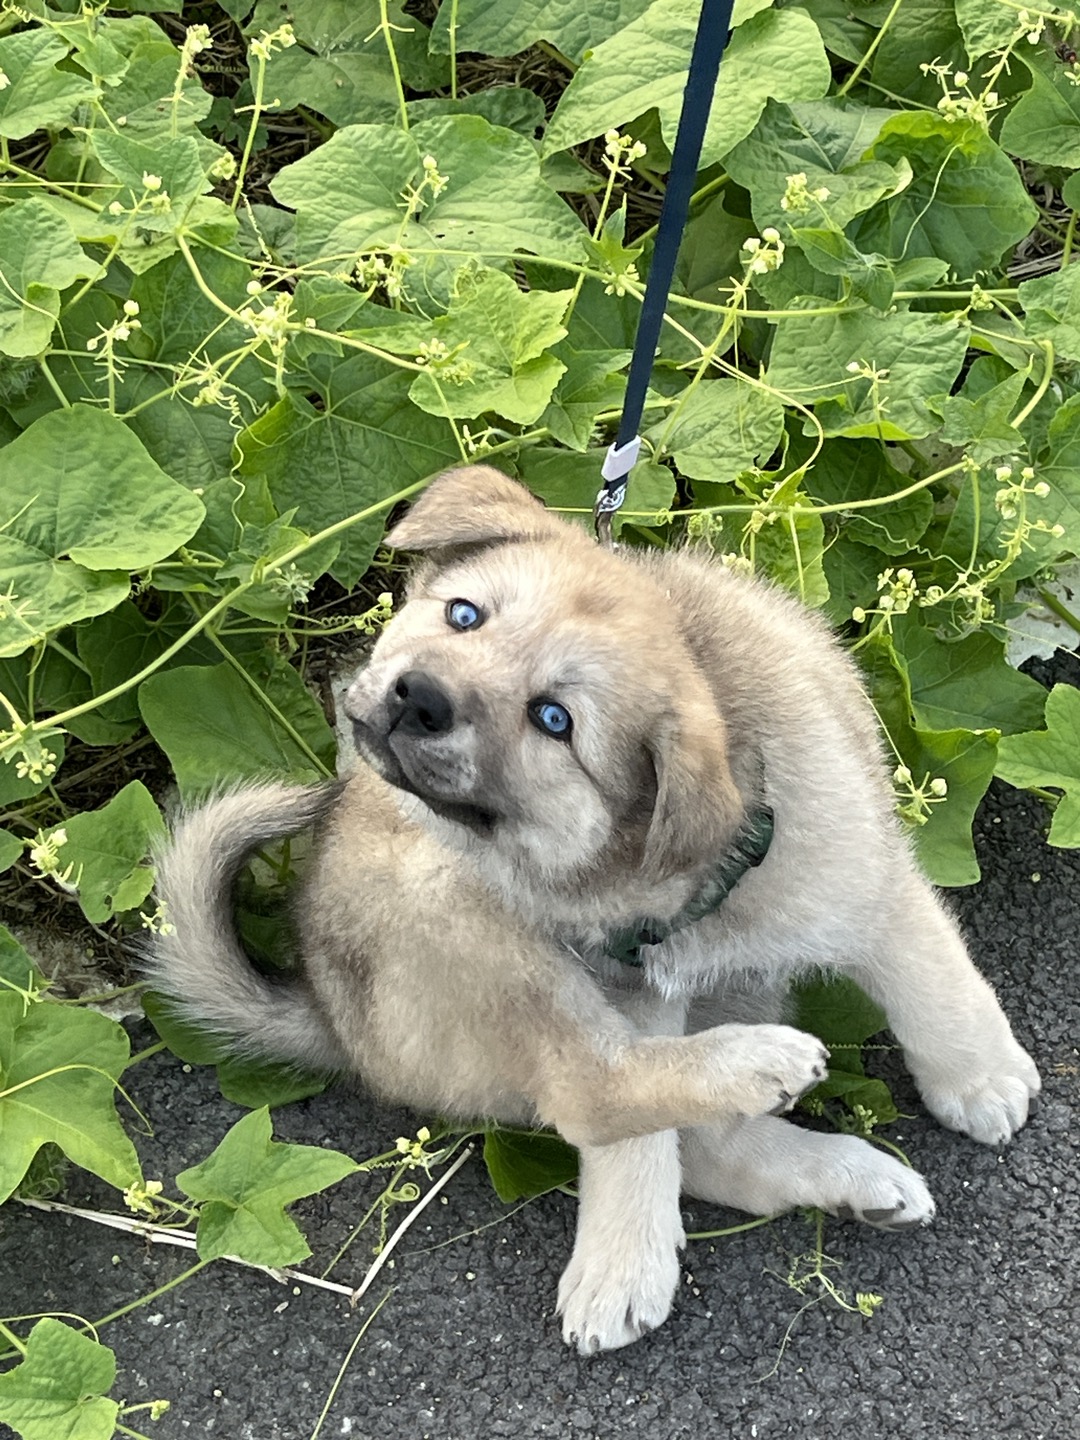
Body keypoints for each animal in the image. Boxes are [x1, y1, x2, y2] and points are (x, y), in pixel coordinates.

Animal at [147, 464, 1041, 1353]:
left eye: (554, 720)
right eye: (464, 614)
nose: (418, 696)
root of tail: (328, 1016)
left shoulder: (868, 883)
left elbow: (933, 984)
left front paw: (979, 1080)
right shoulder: (624, 984)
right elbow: (625, 1130)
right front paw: (622, 1260)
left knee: (692, 1138)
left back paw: (851, 1179)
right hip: (471, 925)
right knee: (592, 1091)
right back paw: (751, 1080)